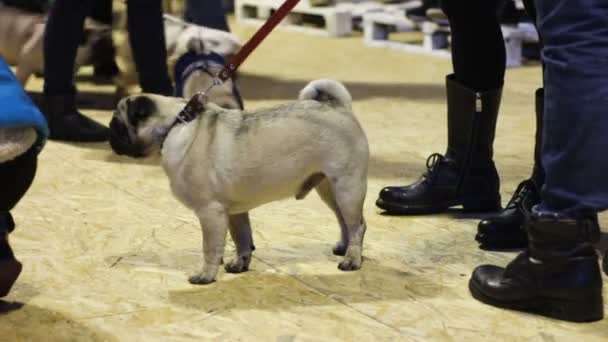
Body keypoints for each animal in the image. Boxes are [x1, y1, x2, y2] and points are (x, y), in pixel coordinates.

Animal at [109, 79, 368, 284]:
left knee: (357, 225)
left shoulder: (210, 212)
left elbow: (211, 248)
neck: (176, 125)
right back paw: (344, 249)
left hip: (347, 187)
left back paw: (352, 260)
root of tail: (338, 107)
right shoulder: (233, 212)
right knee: (345, 221)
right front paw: (239, 265)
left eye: (119, 125)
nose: (110, 134)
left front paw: (205, 276)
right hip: (329, 188)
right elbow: (242, 239)